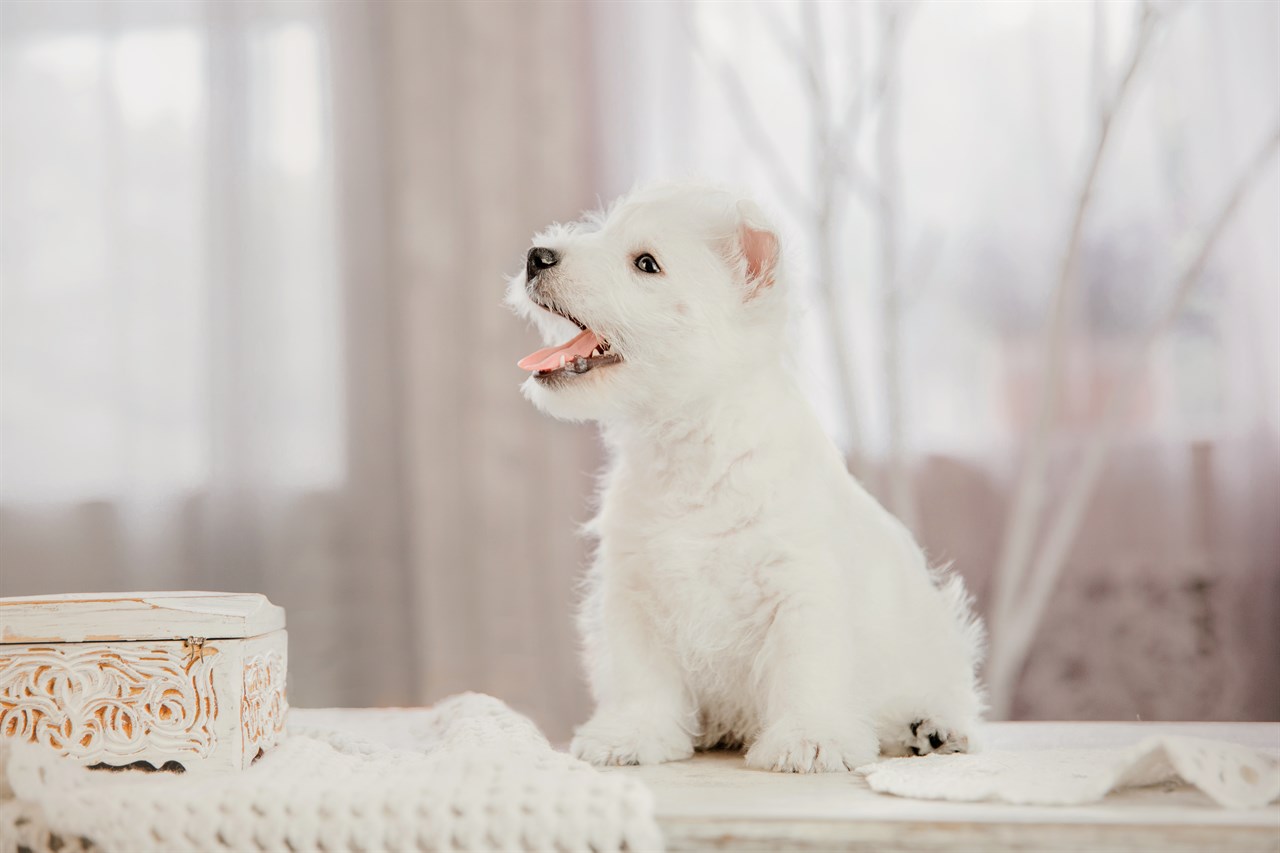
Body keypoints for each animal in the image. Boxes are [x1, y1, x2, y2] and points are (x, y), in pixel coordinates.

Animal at [504, 183, 983, 768]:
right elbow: (641, 677)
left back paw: (932, 729)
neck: (691, 448)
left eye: (646, 263)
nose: (537, 256)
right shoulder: (634, 592)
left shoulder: (800, 587)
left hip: (933, 640)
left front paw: (809, 740)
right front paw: (630, 736)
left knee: (946, 688)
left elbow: (806, 668)